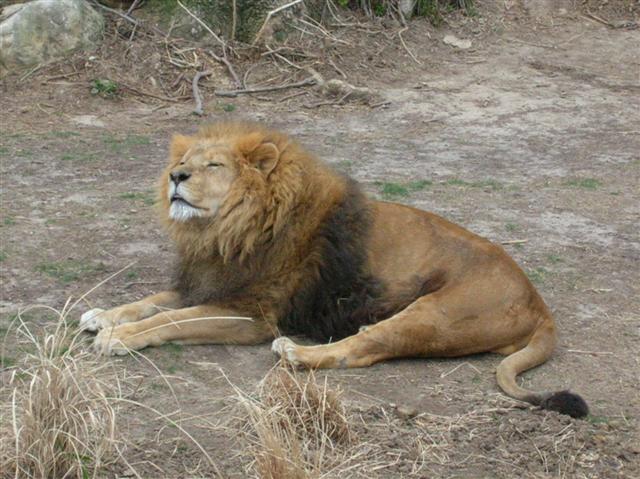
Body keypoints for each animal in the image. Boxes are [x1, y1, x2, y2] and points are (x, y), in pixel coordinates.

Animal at [81, 122, 588, 418]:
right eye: (183, 162)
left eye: (213, 165)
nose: (175, 177)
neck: (221, 231)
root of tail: (539, 305)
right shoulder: (207, 281)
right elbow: (152, 302)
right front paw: (102, 315)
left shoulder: (252, 314)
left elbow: (171, 320)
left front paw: (119, 337)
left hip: (435, 314)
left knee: (361, 350)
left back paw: (295, 354)